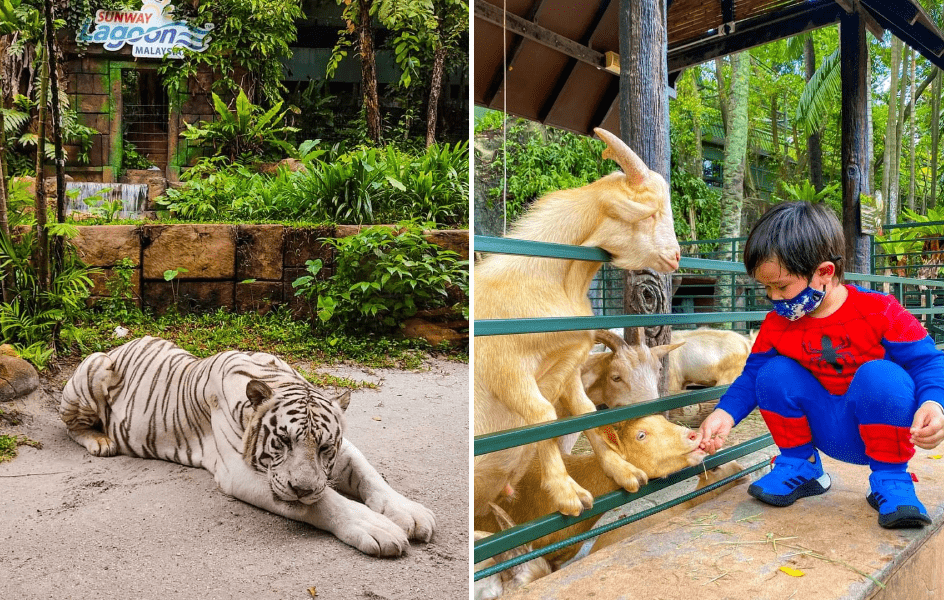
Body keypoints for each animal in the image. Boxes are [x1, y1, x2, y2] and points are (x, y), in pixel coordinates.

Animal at [60, 336, 436, 556]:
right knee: (70, 426)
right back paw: (101, 441)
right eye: (283, 440)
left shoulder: (340, 453)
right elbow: (324, 502)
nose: (303, 488)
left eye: (325, 448)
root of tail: (118, 345)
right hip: (94, 370)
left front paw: (411, 513)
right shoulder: (242, 473)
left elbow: (370, 474)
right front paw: (377, 528)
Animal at [476, 129, 684, 516]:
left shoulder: (570, 361)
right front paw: (567, 493)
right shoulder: (506, 366)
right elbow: (543, 414)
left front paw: (624, 471)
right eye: (649, 214)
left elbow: (585, 412)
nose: (675, 256)